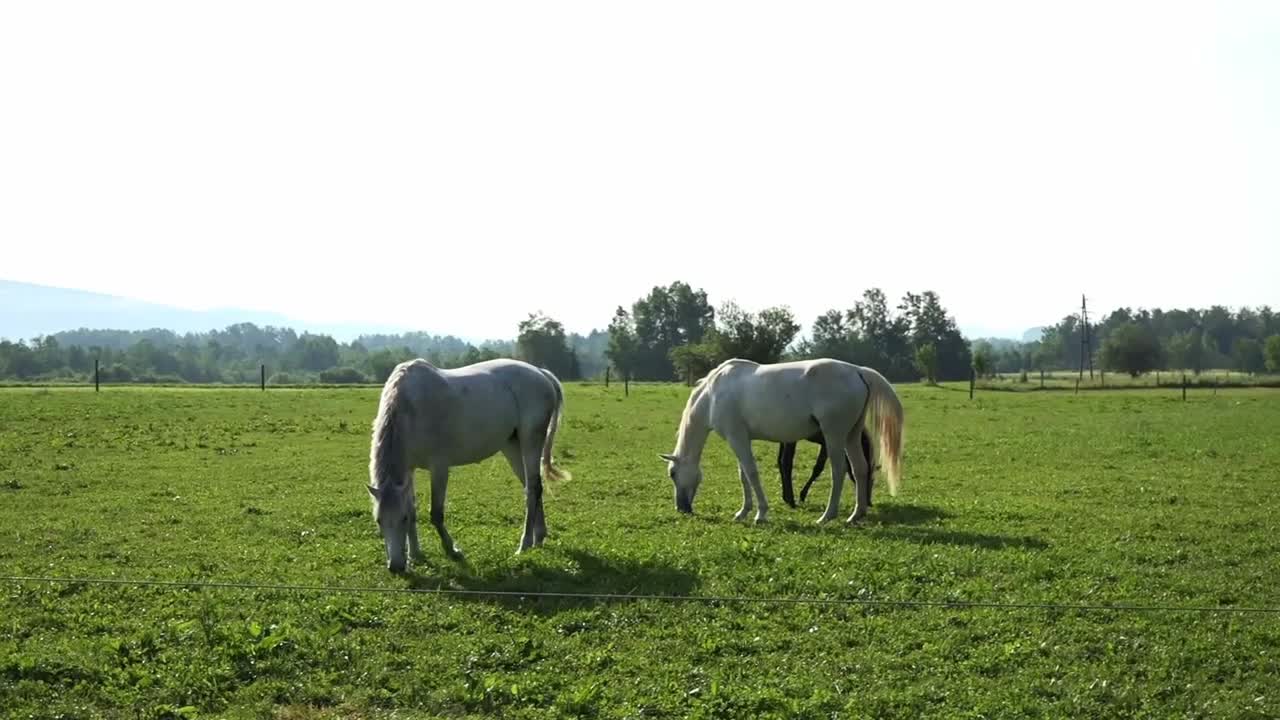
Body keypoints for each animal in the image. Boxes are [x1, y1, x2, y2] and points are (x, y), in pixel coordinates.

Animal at [368, 356, 573, 568]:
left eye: (402, 519)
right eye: (379, 520)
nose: (396, 566)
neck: (410, 408)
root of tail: (541, 373)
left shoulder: (439, 467)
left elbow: (436, 514)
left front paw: (452, 550)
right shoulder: (409, 470)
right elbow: (413, 508)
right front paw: (415, 554)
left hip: (531, 441)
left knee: (532, 490)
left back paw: (524, 545)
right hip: (512, 446)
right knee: (533, 487)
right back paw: (538, 538)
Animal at [660, 356, 901, 520]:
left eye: (673, 474)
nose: (681, 508)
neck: (712, 395)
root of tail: (857, 371)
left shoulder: (736, 438)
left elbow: (751, 472)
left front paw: (761, 513)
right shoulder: (740, 438)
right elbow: (743, 475)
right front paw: (743, 512)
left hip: (834, 436)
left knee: (839, 471)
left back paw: (827, 516)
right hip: (851, 436)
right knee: (860, 469)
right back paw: (856, 515)